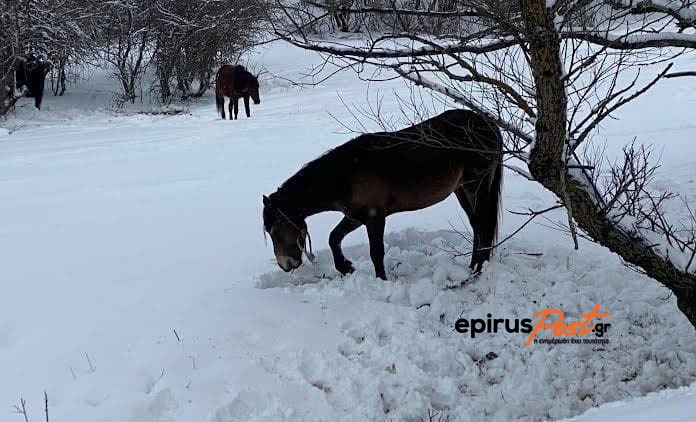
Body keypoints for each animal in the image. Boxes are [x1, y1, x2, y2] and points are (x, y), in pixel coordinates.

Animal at [260, 109, 500, 280]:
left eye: (275, 228)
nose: (285, 265)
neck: (346, 175)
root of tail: (487, 123)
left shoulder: (375, 217)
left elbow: (376, 252)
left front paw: (381, 281)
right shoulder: (356, 217)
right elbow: (333, 237)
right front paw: (346, 267)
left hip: (475, 186)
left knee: (484, 224)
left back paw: (477, 270)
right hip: (462, 190)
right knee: (477, 225)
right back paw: (472, 267)